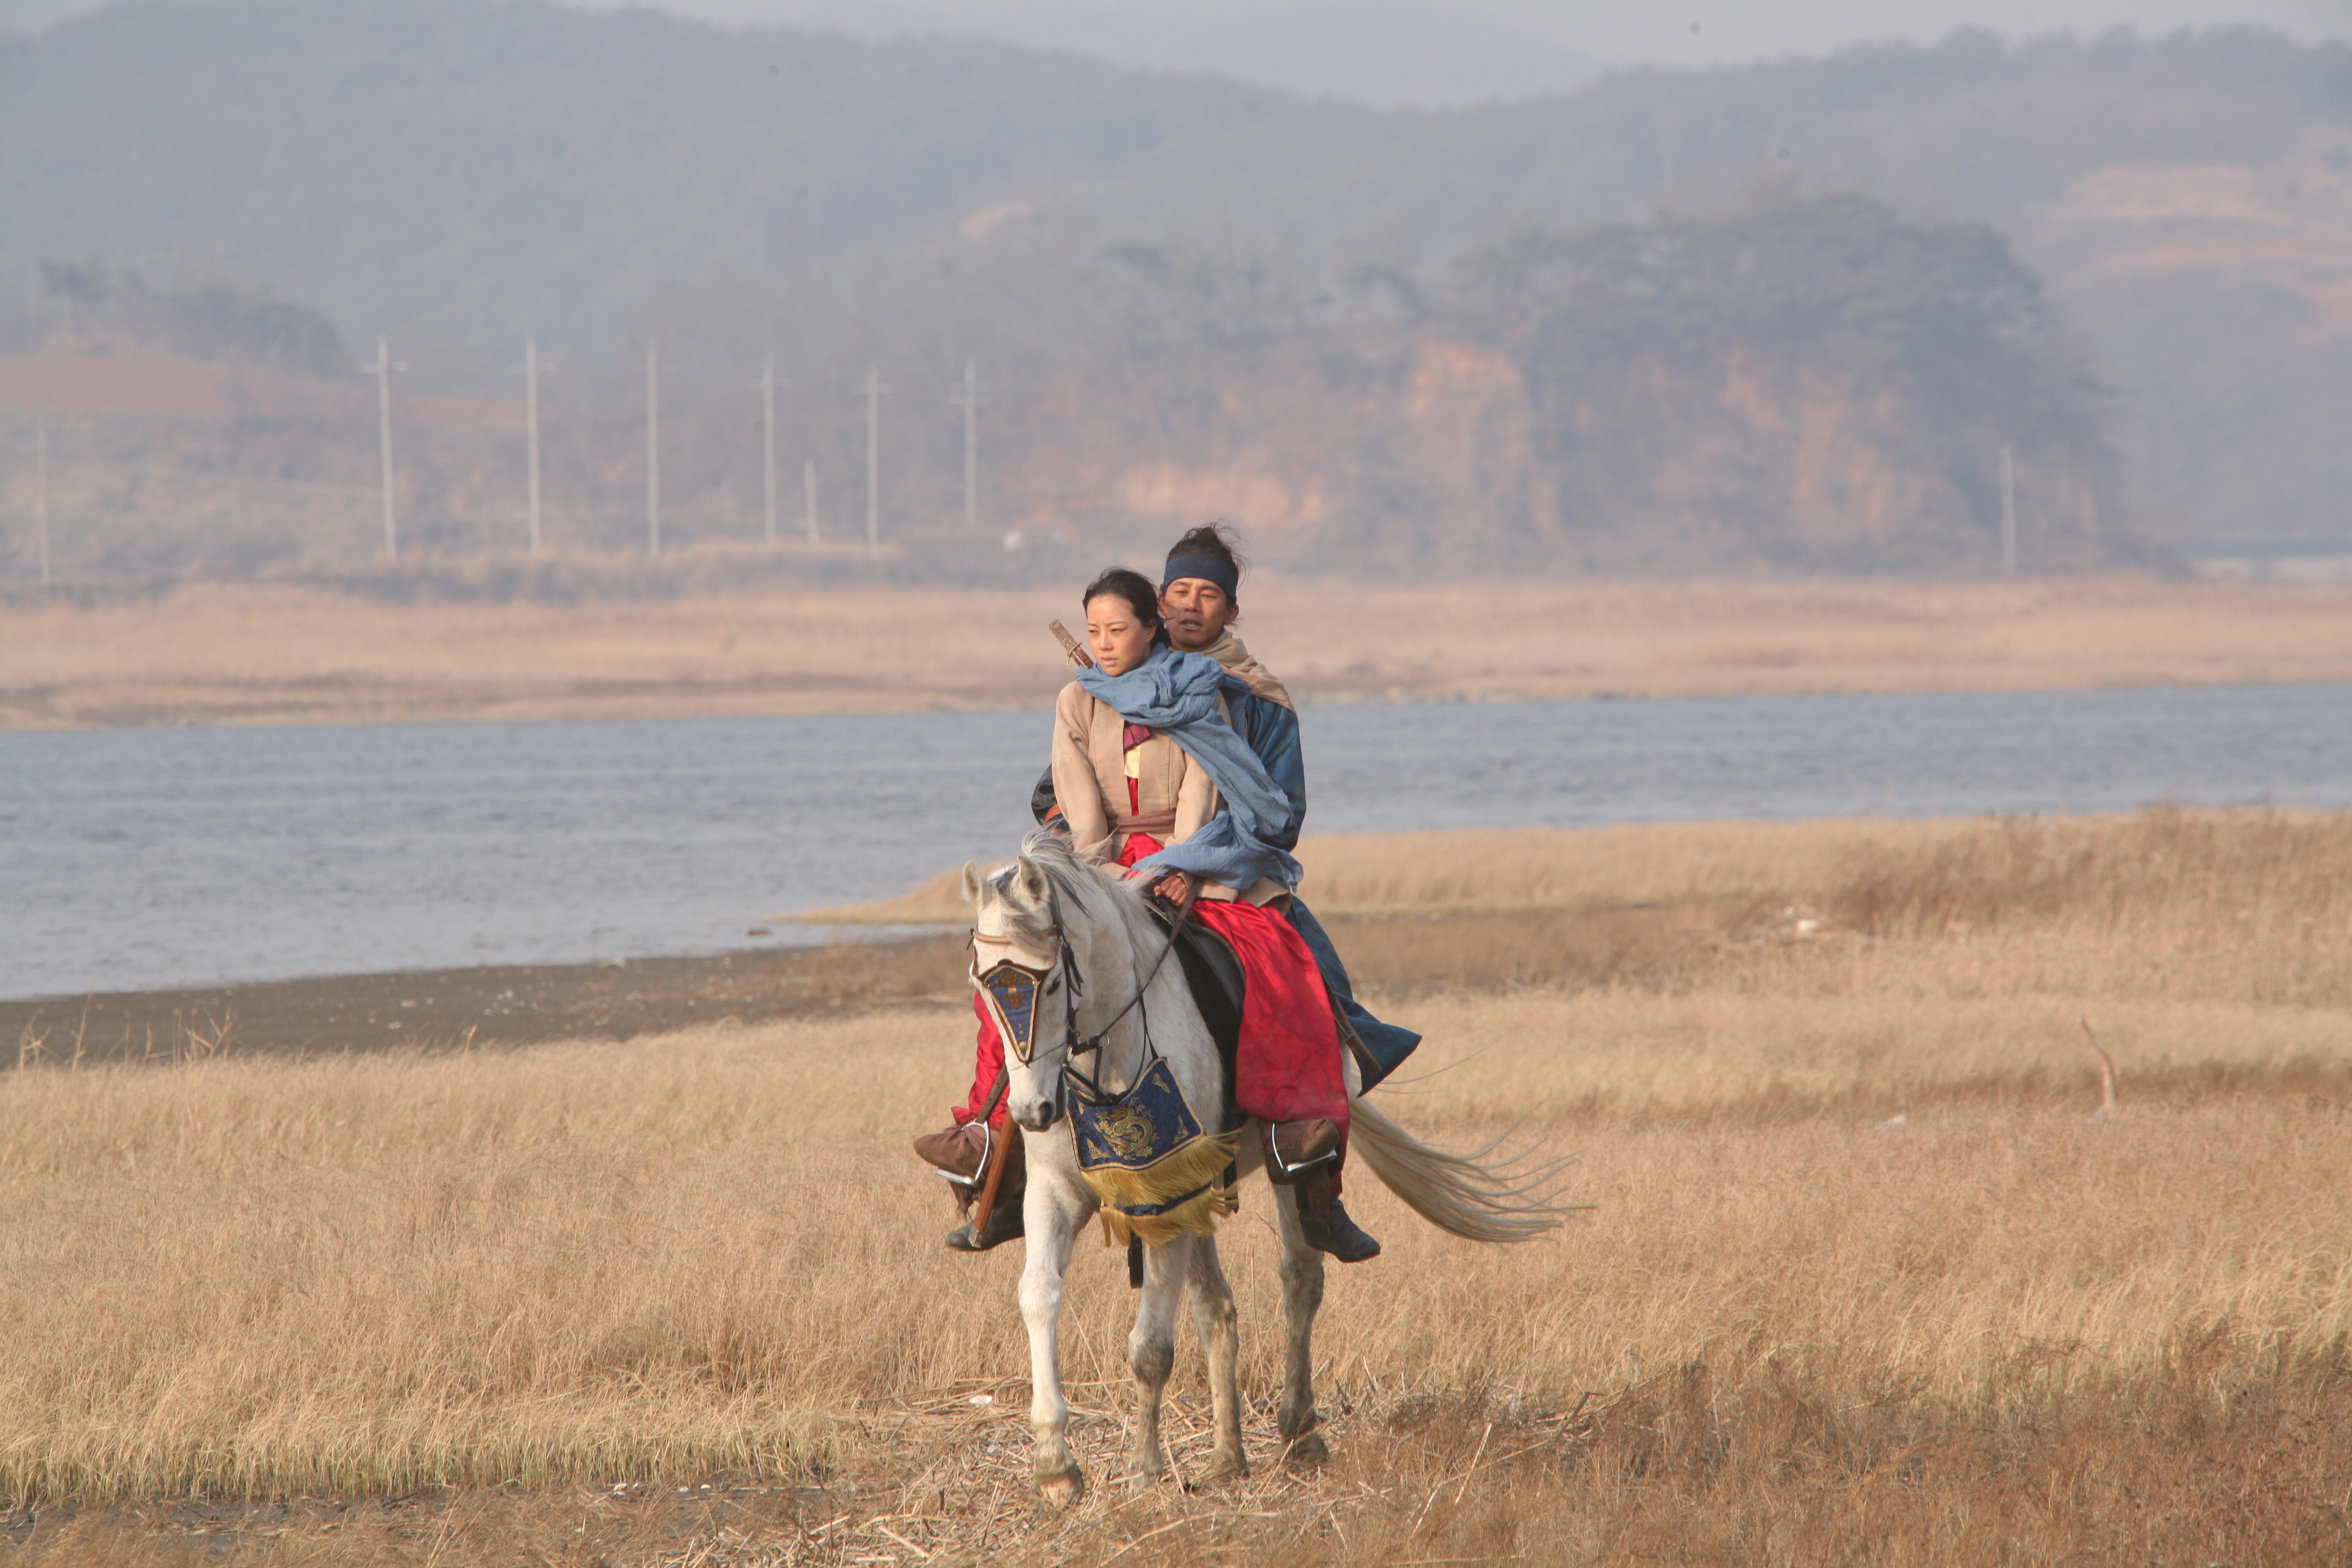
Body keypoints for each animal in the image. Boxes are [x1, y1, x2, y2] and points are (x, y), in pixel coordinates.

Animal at [955, 832, 1562, 1504]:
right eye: (983, 984)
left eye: (1055, 979)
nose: (1032, 1111)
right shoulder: (1059, 1191)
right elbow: (1039, 1295)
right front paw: (1055, 1465)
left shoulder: (1166, 1196)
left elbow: (1151, 1347)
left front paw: (1145, 1466)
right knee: (1216, 1305)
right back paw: (1227, 1455)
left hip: (1285, 1170)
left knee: (1300, 1279)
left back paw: (1298, 1429)